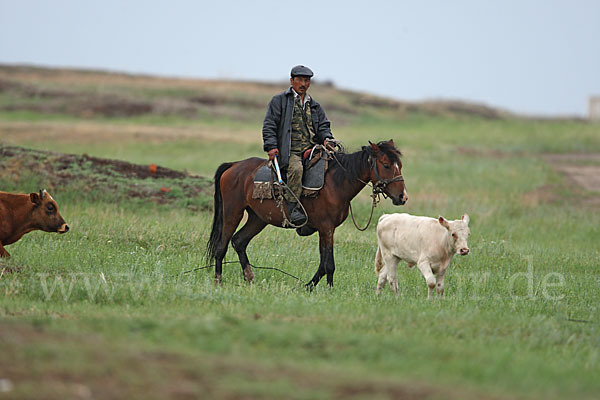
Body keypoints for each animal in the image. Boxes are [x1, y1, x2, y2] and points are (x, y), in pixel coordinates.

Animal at [206, 140, 408, 288]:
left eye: (400, 165)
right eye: (386, 165)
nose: (402, 196)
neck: (337, 183)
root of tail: (234, 166)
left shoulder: (325, 230)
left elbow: (323, 263)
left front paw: (309, 286)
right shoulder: (326, 228)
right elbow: (329, 264)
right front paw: (329, 290)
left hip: (258, 218)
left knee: (239, 241)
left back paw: (249, 277)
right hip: (232, 212)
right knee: (221, 246)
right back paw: (218, 282)